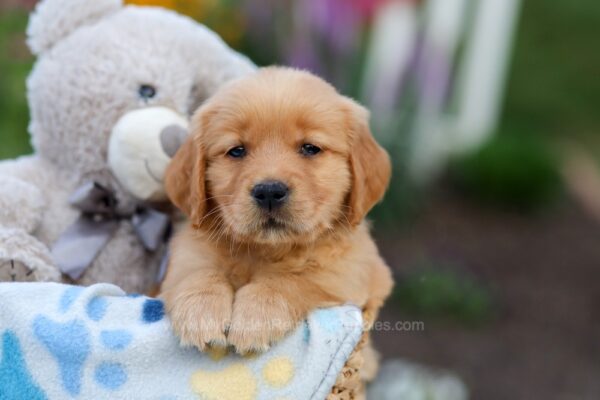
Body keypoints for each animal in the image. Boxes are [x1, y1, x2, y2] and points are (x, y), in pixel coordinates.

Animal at [159, 67, 394, 354]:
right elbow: (196, 271)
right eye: (236, 151)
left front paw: (256, 316)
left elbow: (294, 279)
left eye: (310, 148)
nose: (269, 191)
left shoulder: (349, 273)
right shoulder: (187, 253)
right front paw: (200, 311)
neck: (266, 251)